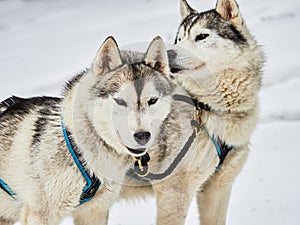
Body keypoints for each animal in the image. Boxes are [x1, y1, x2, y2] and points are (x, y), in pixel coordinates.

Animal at [0, 37, 178, 225]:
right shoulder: (40, 216)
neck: (79, 149)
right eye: (120, 101)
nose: (142, 136)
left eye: (152, 101)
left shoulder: (94, 212)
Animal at [120, 0, 264, 225]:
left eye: (202, 36)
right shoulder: (174, 194)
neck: (205, 106)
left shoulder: (218, 187)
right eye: (179, 39)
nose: (170, 53)